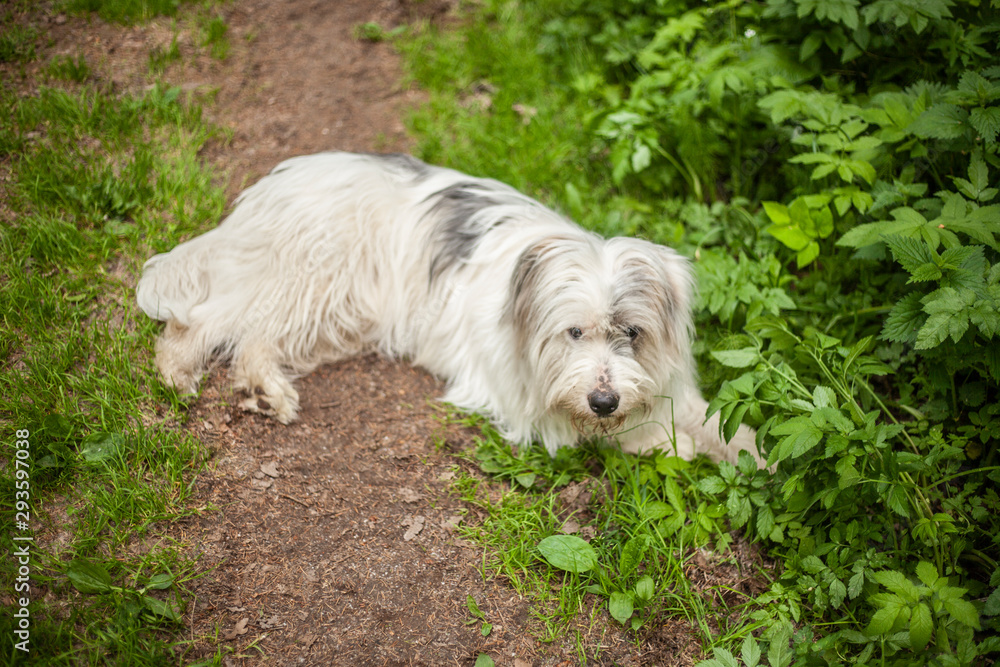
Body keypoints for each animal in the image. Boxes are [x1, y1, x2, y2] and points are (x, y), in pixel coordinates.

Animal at [137, 152, 762, 466]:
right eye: (573, 333)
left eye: (632, 332)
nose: (603, 400)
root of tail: (274, 184)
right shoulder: (536, 410)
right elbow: (631, 435)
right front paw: (679, 448)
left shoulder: (668, 386)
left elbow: (712, 420)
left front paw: (758, 456)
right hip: (315, 278)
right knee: (217, 320)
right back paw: (184, 371)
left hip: (337, 314)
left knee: (249, 331)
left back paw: (260, 389)